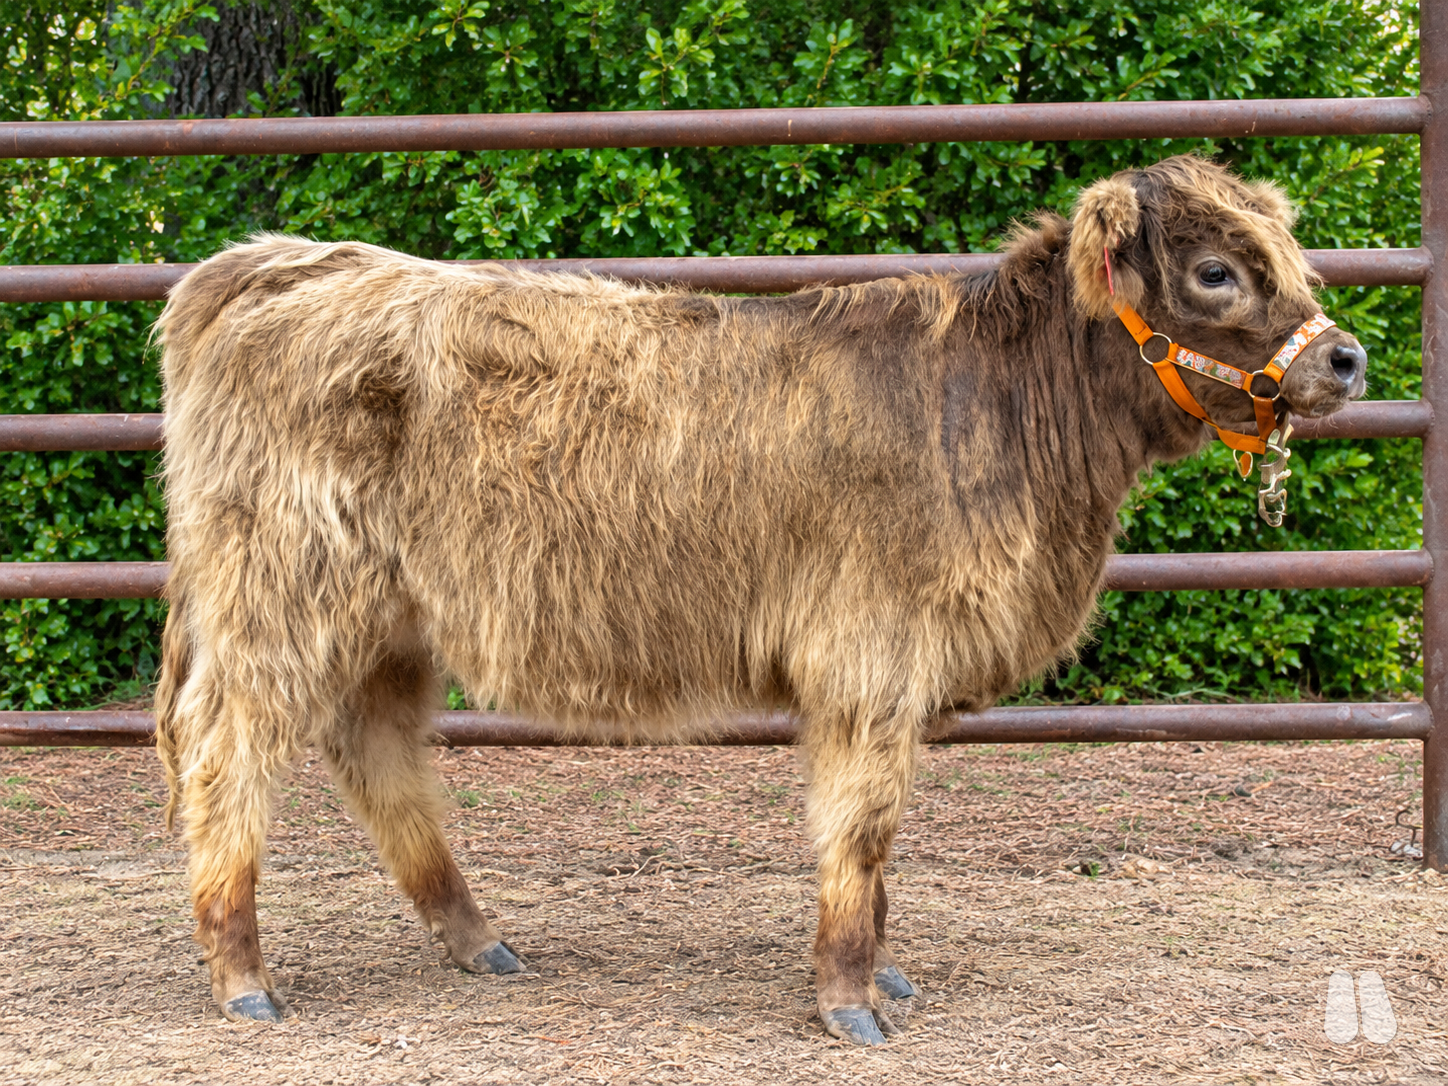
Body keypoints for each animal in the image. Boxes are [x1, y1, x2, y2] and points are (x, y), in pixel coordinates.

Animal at [153, 155, 1366, 1044]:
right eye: (1214, 272)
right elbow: (863, 830)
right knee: (228, 755)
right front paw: (849, 1002)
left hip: (385, 623)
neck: (1000, 408)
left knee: (375, 753)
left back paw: (476, 940)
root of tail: (284, 262)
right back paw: (244, 978)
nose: (1347, 358)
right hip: (280, 600)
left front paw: (885, 974)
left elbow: (874, 842)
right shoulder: (870, 657)